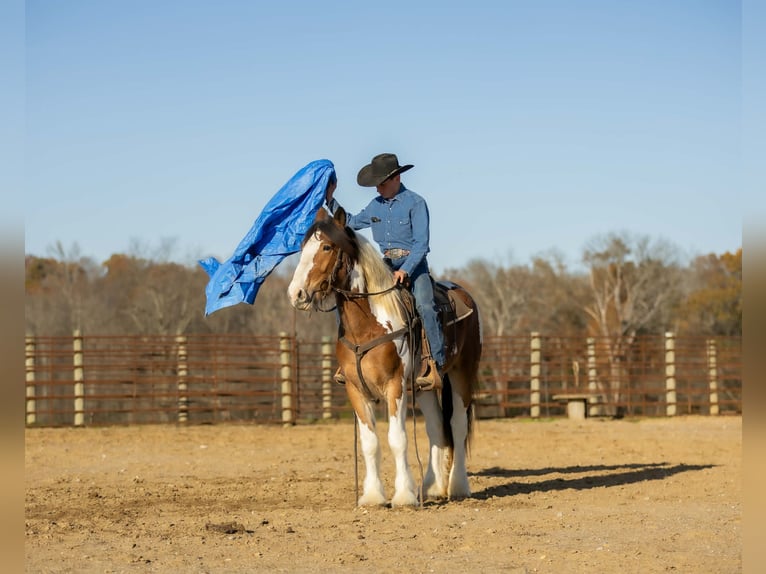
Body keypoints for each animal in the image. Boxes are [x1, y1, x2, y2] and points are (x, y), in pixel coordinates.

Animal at [287, 206, 482, 507]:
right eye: (303, 247)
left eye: (327, 246)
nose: (296, 294)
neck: (368, 326)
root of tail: (463, 294)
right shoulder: (356, 389)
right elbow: (370, 442)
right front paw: (372, 495)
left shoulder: (395, 386)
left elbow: (397, 438)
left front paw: (403, 496)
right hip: (424, 387)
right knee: (436, 427)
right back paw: (432, 487)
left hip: (463, 372)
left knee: (457, 425)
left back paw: (458, 486)